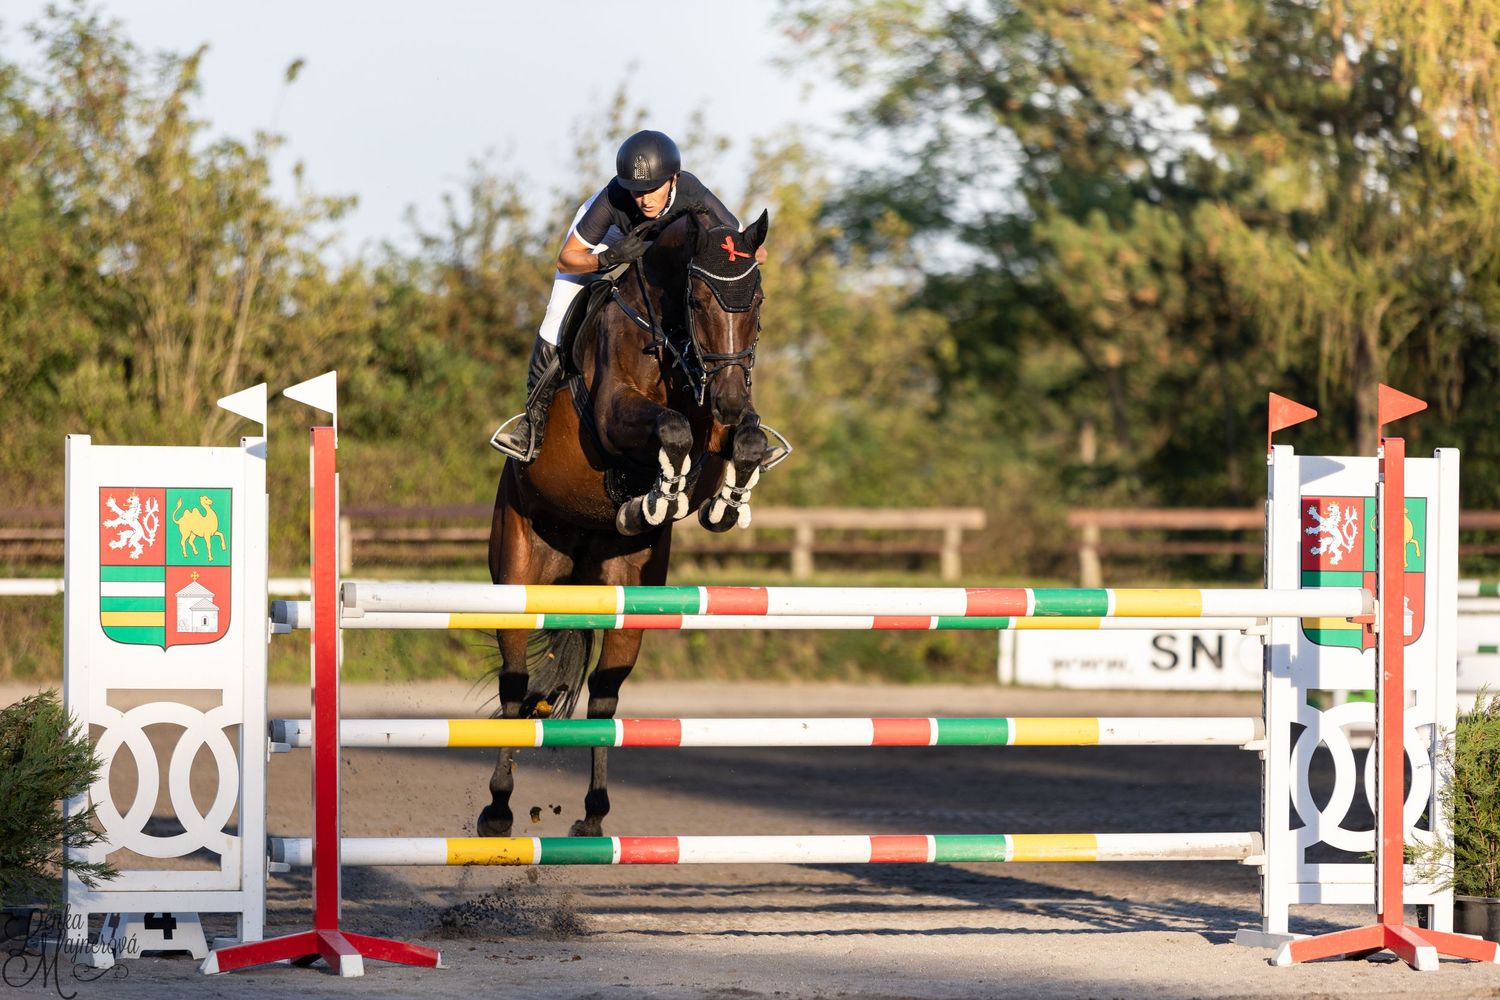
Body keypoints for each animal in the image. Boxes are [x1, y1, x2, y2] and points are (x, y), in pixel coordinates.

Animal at [479, 208, 780, 838]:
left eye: (758, 300)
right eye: (699, 300)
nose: (731, 395)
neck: (670, 339)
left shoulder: (718, 421)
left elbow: (739, 439)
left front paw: (722, 502)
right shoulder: (617, 413)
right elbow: (671, 428)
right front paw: (659, 492)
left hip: (625, 591)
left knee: (604, 696)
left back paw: (594, 816)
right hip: (519, 573)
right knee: (515, 687)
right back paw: (497, 809)